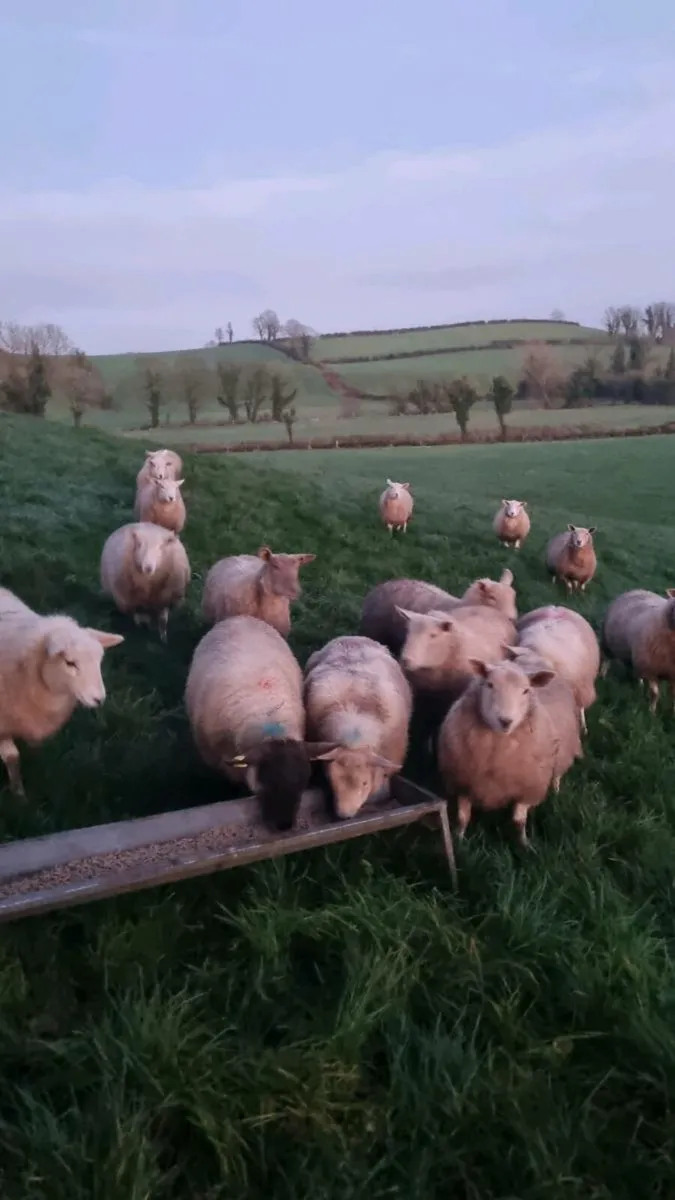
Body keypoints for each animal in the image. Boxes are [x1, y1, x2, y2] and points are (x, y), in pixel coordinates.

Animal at [438, 657, 581, 846]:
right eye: (490, 684)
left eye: (526, 691)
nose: (505, 721)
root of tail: (535, 658)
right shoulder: (463, 784)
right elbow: (463, 817)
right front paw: (459, 840)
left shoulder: (528, 789)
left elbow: (518, 821)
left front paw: (524, 845)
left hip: (562, 754)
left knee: (557, 775)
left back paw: (556, 793)